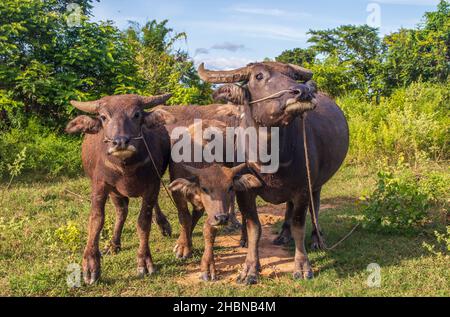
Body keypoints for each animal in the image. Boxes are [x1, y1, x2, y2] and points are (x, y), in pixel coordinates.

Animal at [65, 92, 172, 282]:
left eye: (136, 114)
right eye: (103, 117)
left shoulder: (152, 185)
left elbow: (143, 222)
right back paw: (114, 244)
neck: (126, 167)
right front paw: (90, 265)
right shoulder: (100, 185)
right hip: (114, 192)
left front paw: (144, 261)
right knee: (121, 211)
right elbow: (96, 219)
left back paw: (163, 224)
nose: (120, 142)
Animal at [199, 61, 350, 282]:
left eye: (292, 76)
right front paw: (250, 269)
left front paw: (302, 266)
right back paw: (282, 235)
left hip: (316, 183)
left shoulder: (303, 189)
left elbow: (299, 224)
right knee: (288, 207)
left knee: (315, 208)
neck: (270, 157)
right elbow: (254, 228)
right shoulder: (245, 191)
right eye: (259, 76)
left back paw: (316, 239)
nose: (303, 92)